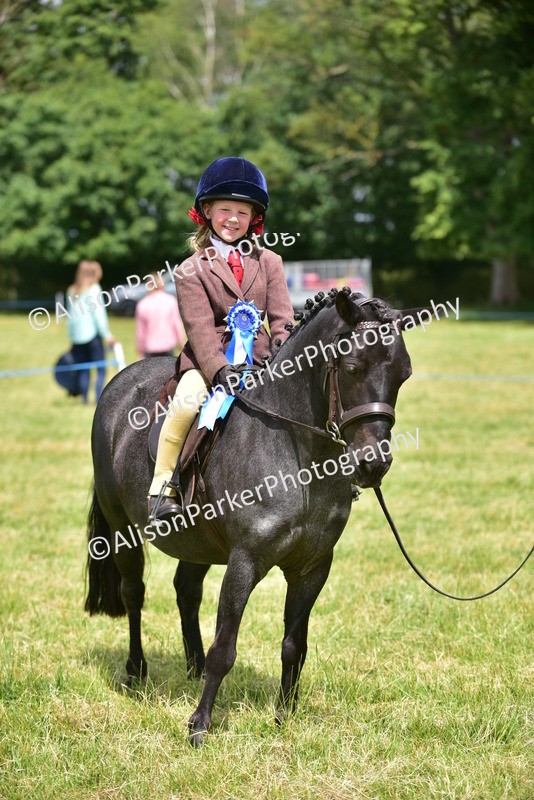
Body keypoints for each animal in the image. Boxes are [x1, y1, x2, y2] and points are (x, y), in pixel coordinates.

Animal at [85, 288, 416, 746]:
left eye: (403, 375)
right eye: (352, 367)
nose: (373, 465)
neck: (299, 456)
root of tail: (119, 383)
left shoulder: (313, 567)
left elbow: (295, 645)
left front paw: (284, 715)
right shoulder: (244, 561)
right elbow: (225, 647)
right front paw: (199, 725)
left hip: (199, 542)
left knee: (186, 590)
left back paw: (192, 665)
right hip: (123, 528)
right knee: (134, 593)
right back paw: (137, 672)